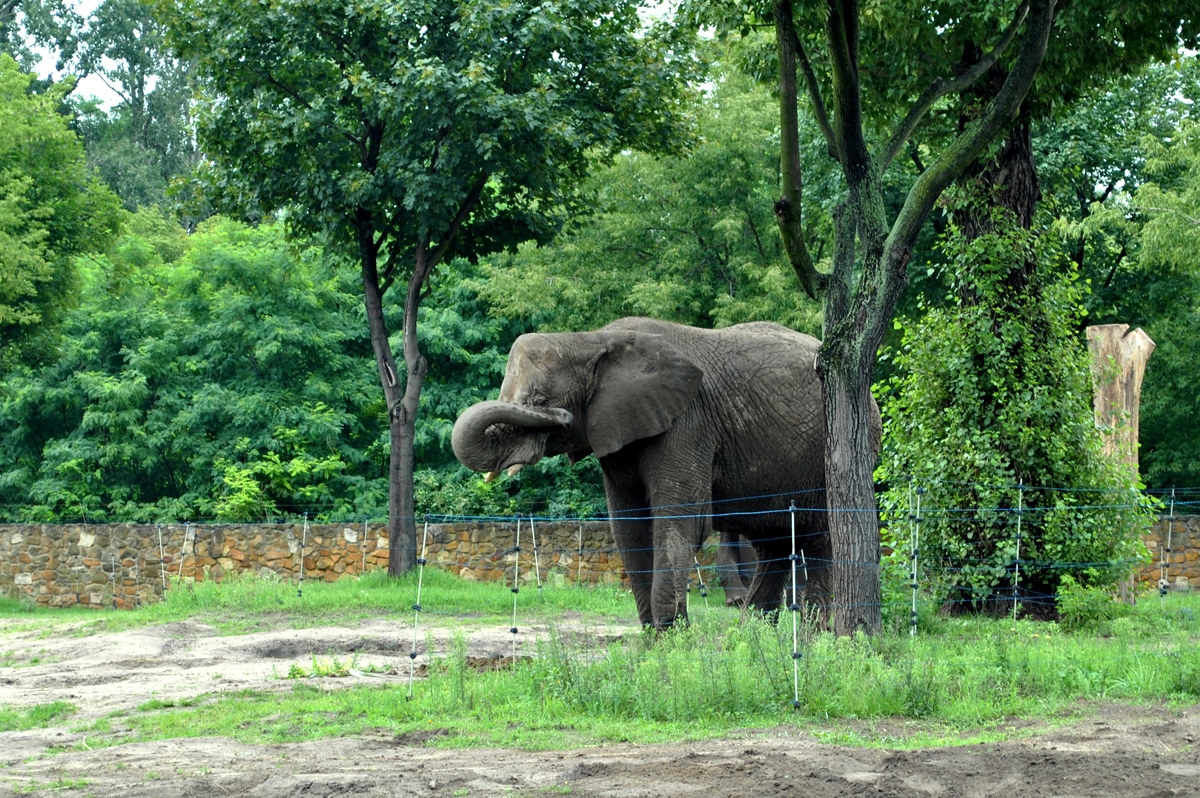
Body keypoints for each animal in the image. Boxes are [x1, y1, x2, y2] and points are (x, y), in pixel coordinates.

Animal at [451, 317, 881, 628]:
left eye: (541, 401)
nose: (561, 417)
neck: (592, 341)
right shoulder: (619, 430)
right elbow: (628, 528)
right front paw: (654, 639)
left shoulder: (687, 422)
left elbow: (679, 521)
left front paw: (672, 637)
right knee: (773, 539)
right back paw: (753, 631)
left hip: (832, 450)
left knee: (819, 534)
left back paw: (813, 632)